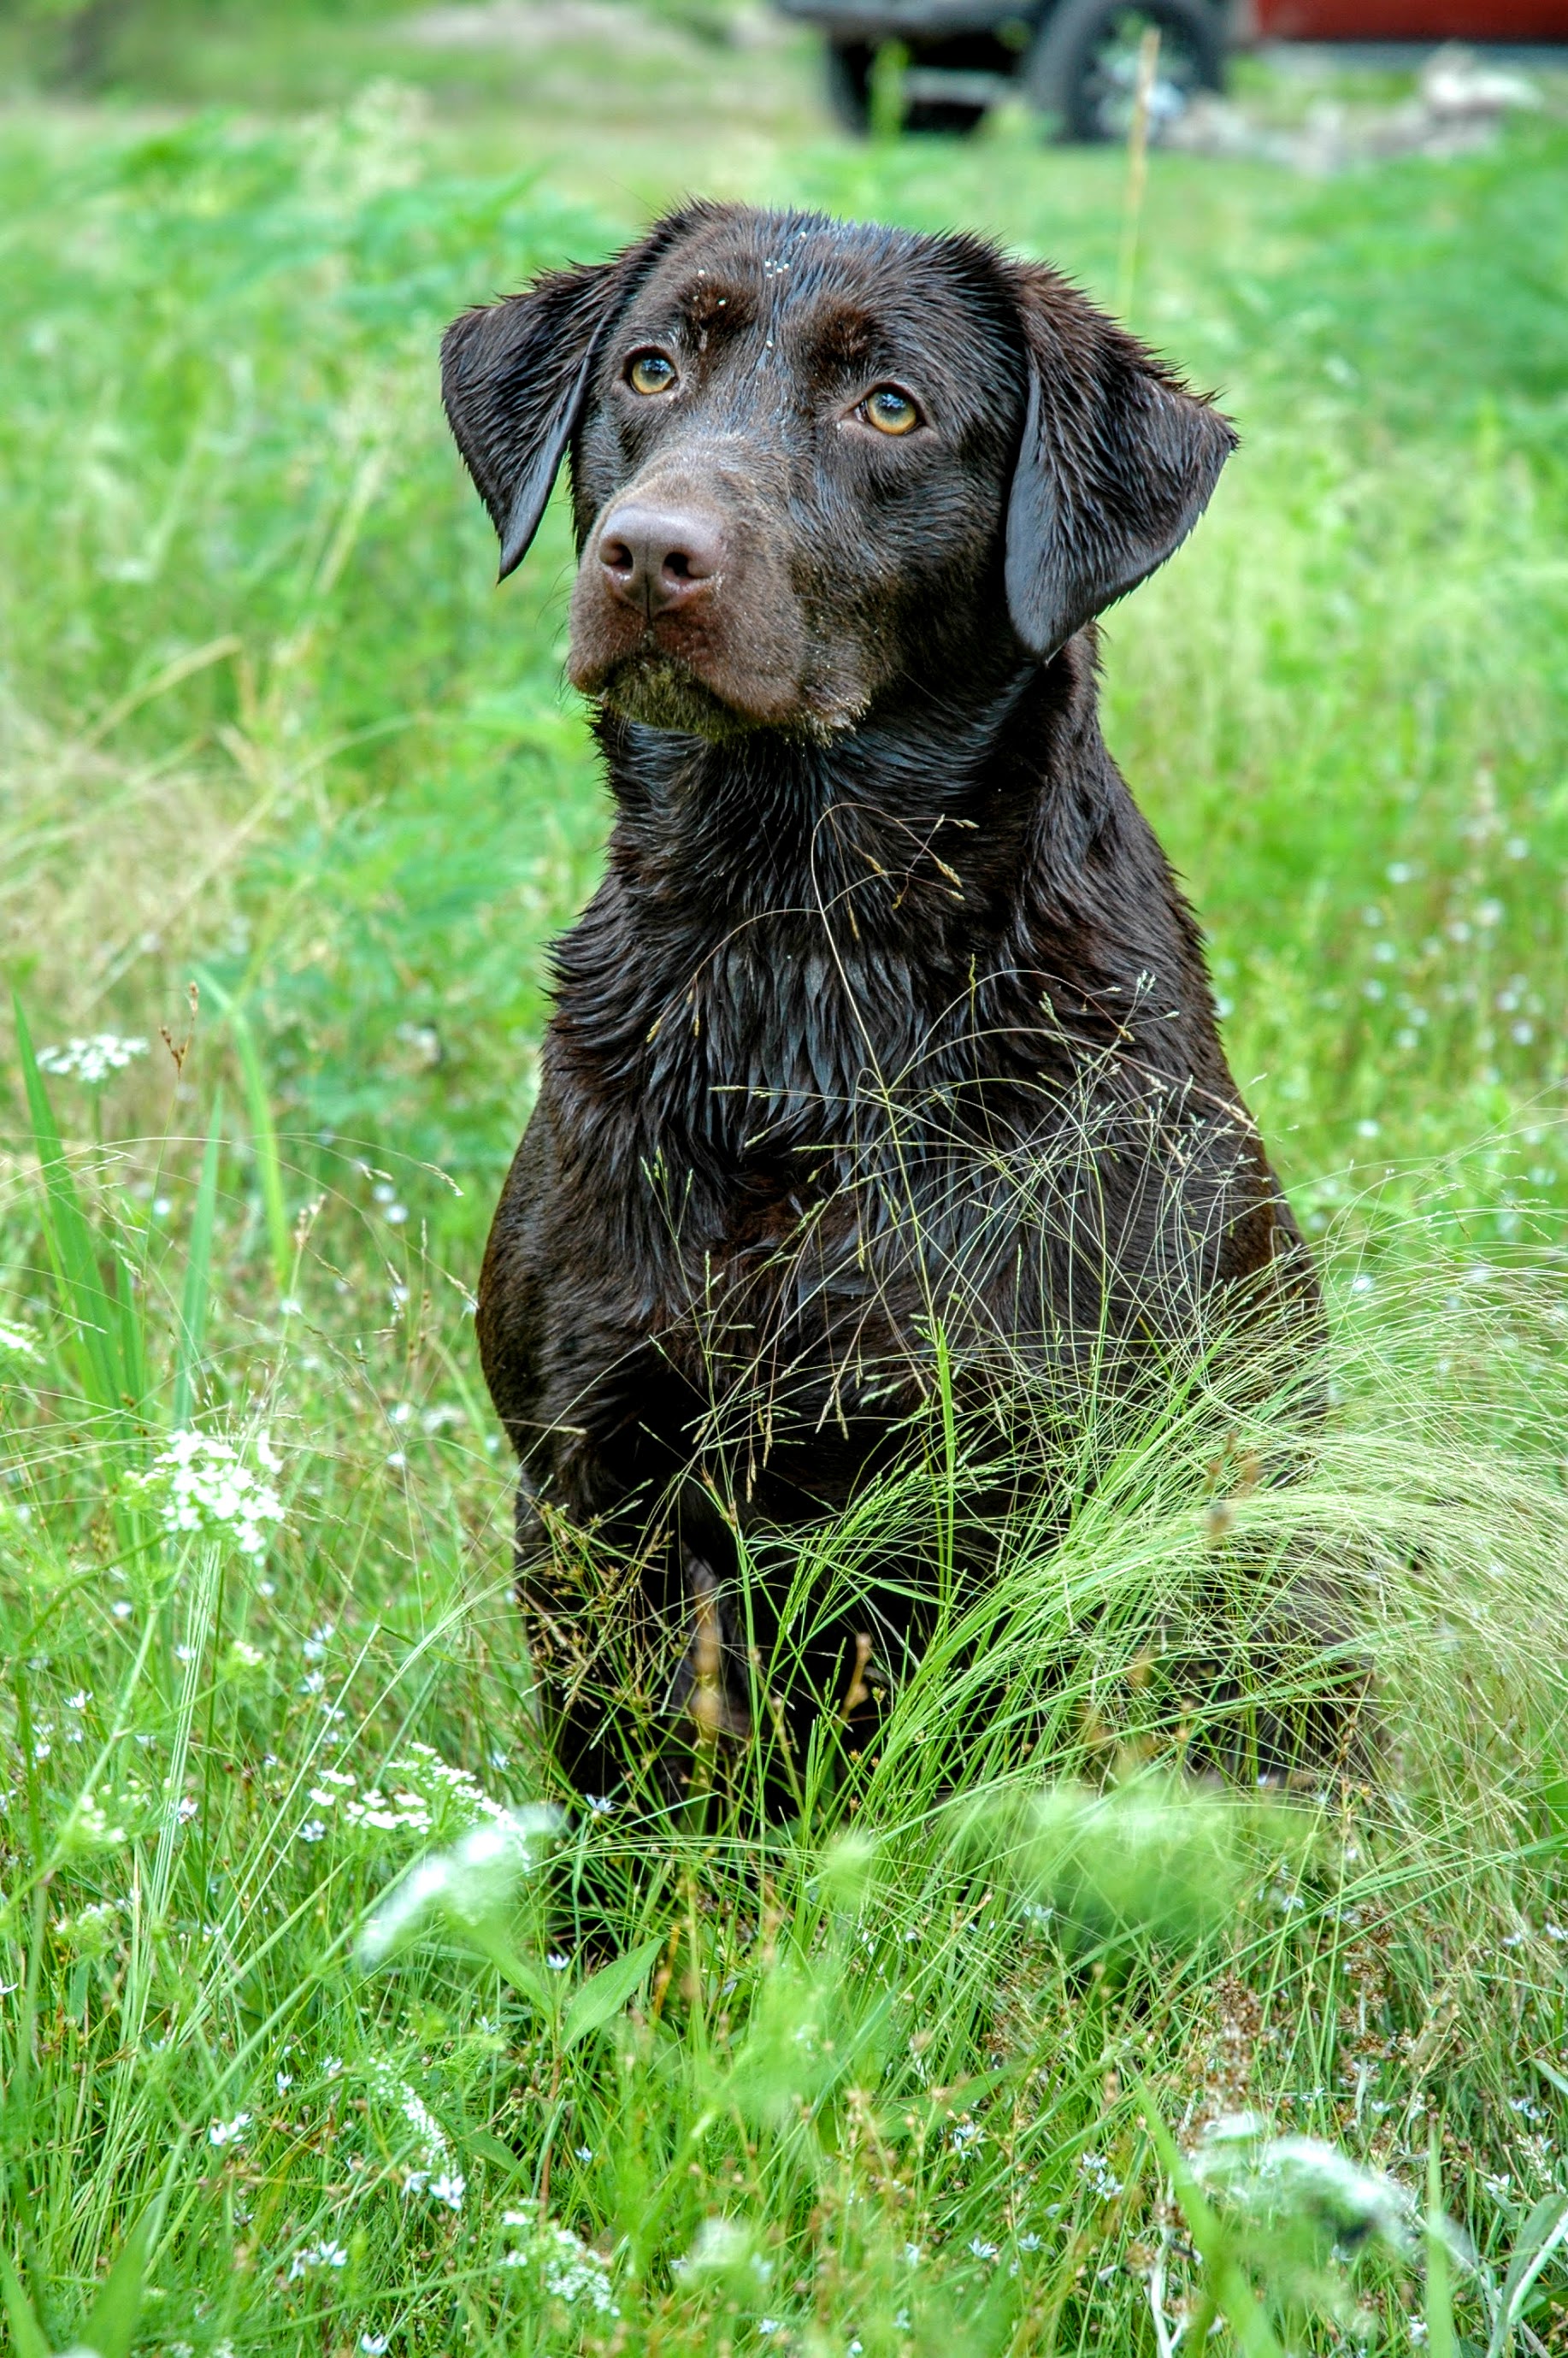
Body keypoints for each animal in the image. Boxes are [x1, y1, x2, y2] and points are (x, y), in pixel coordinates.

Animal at [440, 203, 1311, 1792]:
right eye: (649, 368)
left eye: (889, 406)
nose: (648, 554)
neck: (788, 959)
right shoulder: (585, 1481)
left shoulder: (1021, 1500)